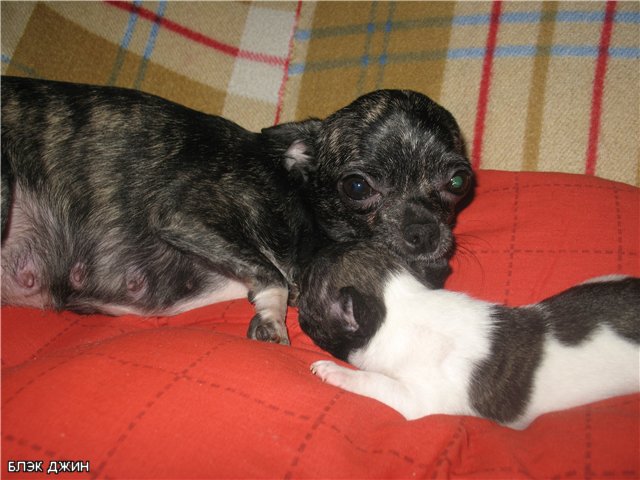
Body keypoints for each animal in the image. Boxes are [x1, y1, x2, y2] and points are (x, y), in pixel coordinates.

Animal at [1, 77, 471, 344]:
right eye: (357, 186)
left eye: (459, 182)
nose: (424, 232)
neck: (299, 194)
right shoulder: (182, 214)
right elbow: (272, 272)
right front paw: (272, 315)